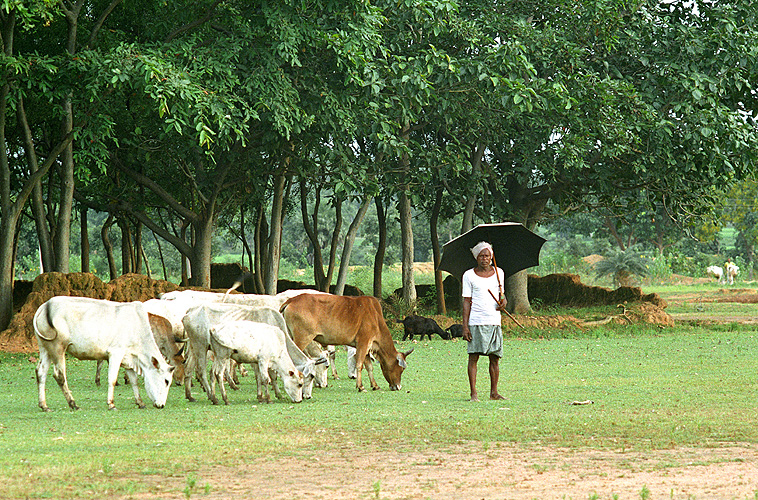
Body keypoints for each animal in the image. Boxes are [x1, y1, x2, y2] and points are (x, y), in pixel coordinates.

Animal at [32, 296, 175, 410]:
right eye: (166, 381)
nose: (162, 405)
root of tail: (45, 305)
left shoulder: (128, 358)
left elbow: (134, 381)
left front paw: (140, 403)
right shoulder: (116, 353)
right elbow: (112, 379)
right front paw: (111, 404)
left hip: (45, 348)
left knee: (41, 372)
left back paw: (44, 405)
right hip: (58, 348)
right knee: (59, 375)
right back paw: (73, 404)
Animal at [184, 302, 326, 404]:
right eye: (311, 376)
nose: (307, 396)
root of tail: (189, 311)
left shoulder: (256, 359)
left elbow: (259, 376)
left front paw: (261, 396)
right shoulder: (263, 358)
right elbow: (270, 376)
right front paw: (277, 394)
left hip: (194, 348)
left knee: (189, 368)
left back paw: (191, 395)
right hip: (201, 347)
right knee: (202, 371)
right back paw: (211, 395)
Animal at [282, 292, 412, 394]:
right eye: (401, 369)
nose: (398, 387)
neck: (376, 317)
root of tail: (291, 300)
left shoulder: (367, 346)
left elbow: (369, 367)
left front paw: (375, 385)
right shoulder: (363, 342)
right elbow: (359, 365)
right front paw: (360, 387)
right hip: (302, 339)